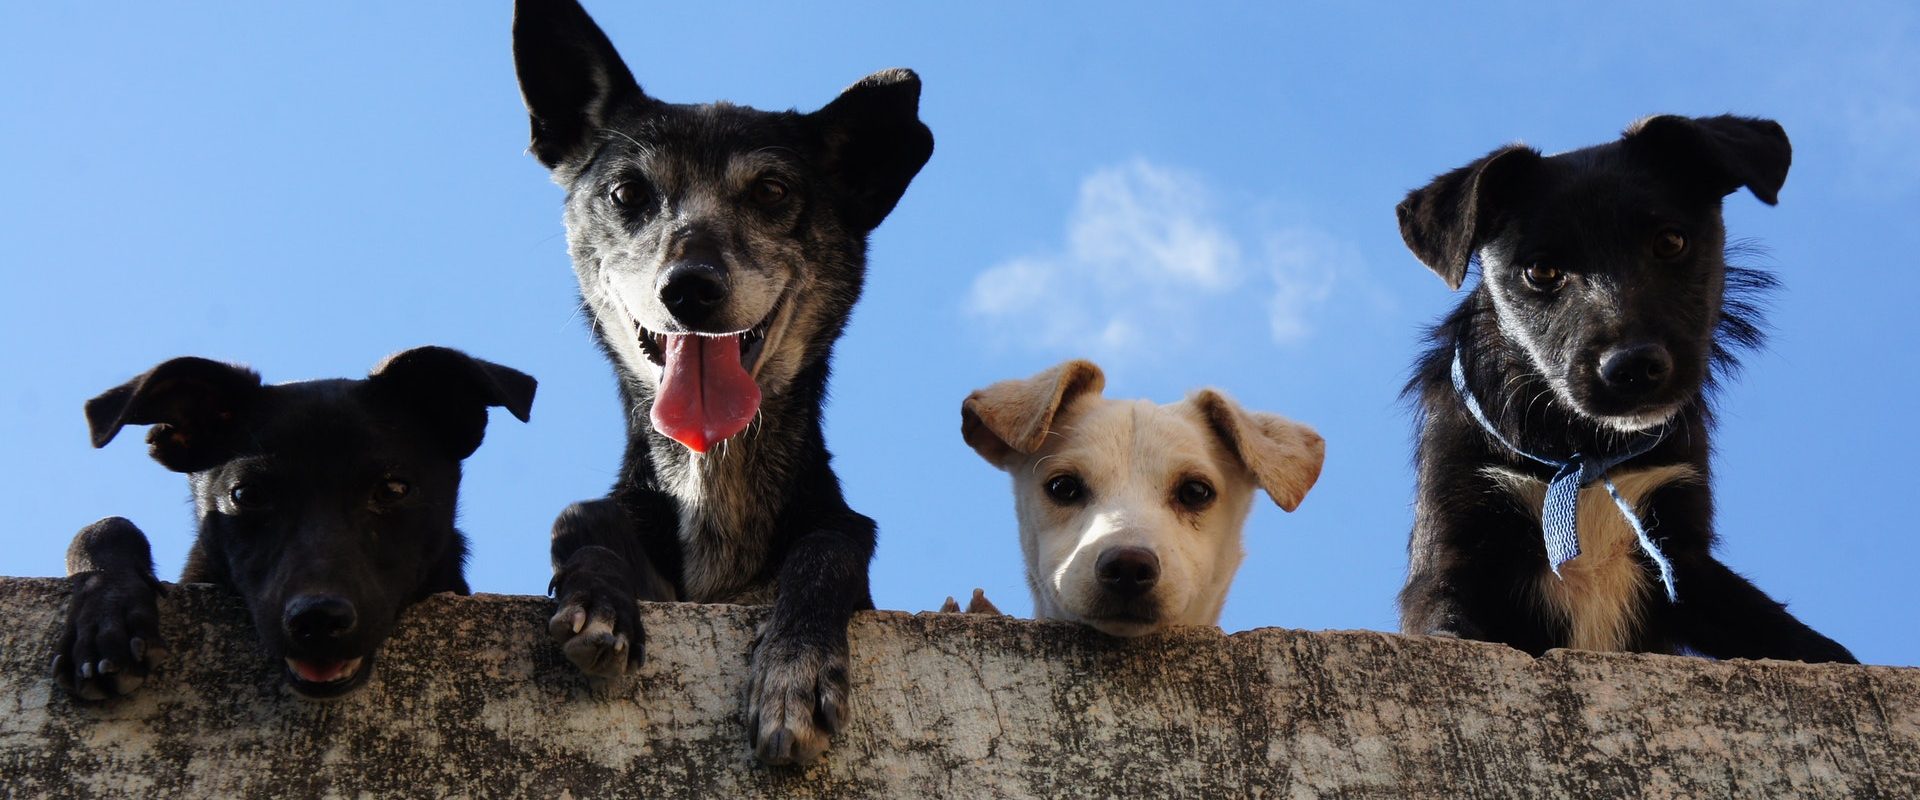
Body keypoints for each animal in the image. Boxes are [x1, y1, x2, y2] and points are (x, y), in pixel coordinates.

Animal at [510, 0, 929, 767]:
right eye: (627, 192)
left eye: (771, 191)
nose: (690, 288)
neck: (714, 486)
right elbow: (579, 516)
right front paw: (599, 599)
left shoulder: (839, 543)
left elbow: (830, 548)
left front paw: (794, 671)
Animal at [1405, 112, 1850, 659]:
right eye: (1541, 271)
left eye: (1671, 242)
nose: (1633, 366)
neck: (1585, 454)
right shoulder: (1453, 553)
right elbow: (1448, 625)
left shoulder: (1683, 557)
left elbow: (1794, 637)